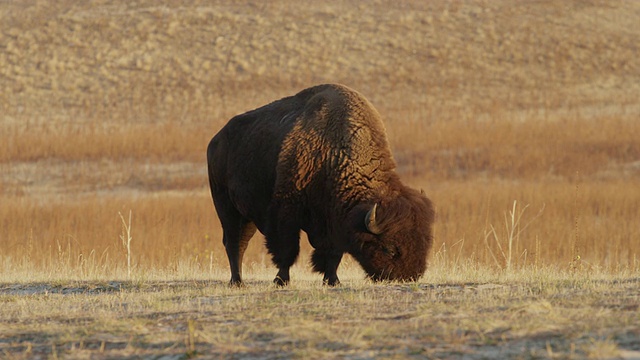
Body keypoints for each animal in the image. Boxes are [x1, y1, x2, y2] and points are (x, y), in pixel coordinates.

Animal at [208, 83, 432, 286]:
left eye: (424, 244)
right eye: (389, 248)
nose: (408, 276)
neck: (331, 153)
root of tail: (215, 140)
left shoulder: (334, 220)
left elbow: (332, 253)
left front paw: (332, 280)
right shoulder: (285, 214)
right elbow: (287, 250)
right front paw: (281, 280)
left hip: (247, 217)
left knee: (241, 242)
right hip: (227, 208)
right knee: (234, 243)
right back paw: (237, 282)